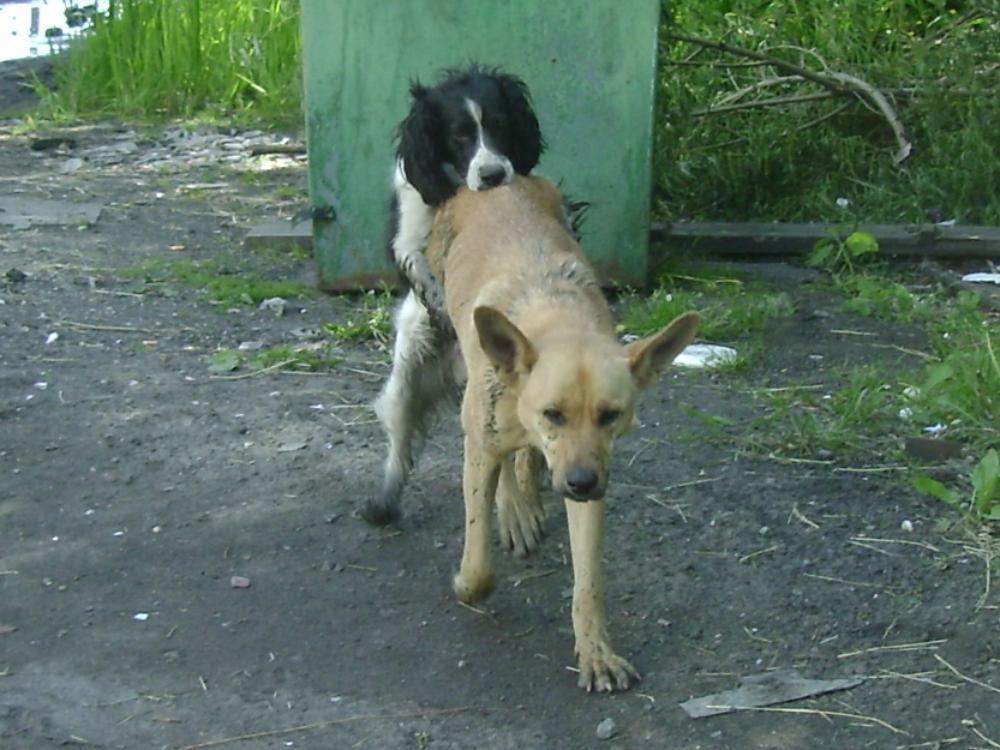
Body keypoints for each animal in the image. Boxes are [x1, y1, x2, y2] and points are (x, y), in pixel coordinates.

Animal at [366, 175, 699, 692]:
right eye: (552, 413)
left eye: (611, 415)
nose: (580, 483)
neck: (556, 315)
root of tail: (496, 183)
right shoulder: (481, 445)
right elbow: (479, 564)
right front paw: (468, 580)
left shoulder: (589, 478)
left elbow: (589, 583)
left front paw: (596, 652)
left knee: (524, 463)